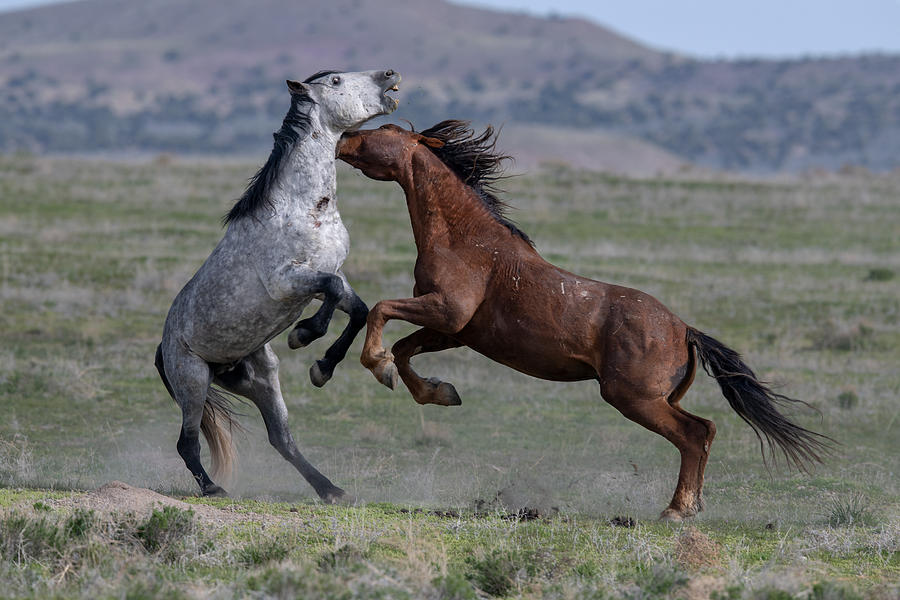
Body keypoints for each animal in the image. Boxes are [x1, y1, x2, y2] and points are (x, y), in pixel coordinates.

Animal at [156, 68, 400, 500]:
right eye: (336, 81)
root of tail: (163, 346)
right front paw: (303, 335)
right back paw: (213, 488)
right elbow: (332, 292)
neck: (303, 207)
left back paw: (330, 490)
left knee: (281, 439)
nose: (389, 75)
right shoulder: (287, 281)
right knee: (187, 442)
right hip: (193, 380)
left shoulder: (331, 273)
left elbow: (356, 307)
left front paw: (323, 367)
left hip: (262, 380)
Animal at [338, 119, 828, 516]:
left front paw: (378, 366)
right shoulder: (455, 330)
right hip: (659, 397)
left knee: (692, 434)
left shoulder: (446, 310)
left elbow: (381, 312)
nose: (342, 138)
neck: (466, 239)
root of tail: (684, 330)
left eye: (385, 129)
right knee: (705, 430)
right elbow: (404, 350)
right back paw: (692, 504)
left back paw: (676, 510)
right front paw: (438, 392)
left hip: (633, 397)